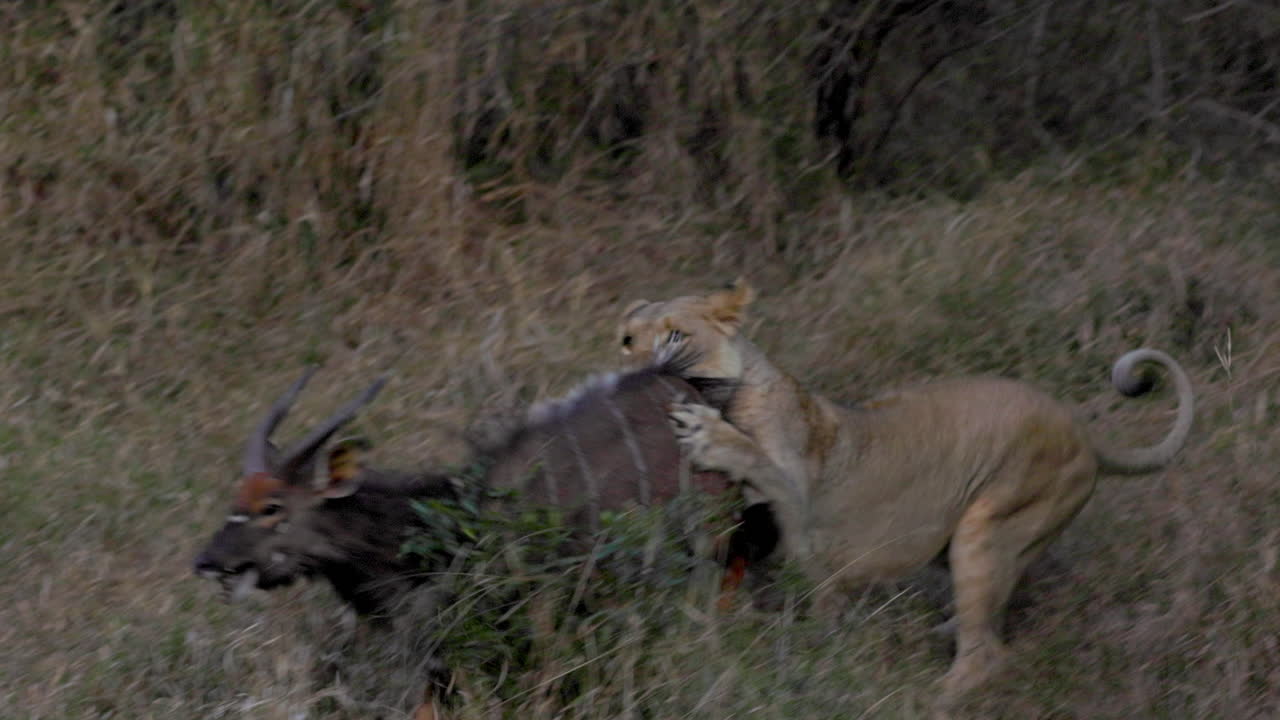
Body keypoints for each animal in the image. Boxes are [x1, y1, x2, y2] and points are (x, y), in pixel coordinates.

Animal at [616, 279, 1194, 699]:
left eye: (674, 335)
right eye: (627, 338)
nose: (628, 376)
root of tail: (1084, 433)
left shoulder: (805, 509)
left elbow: (758, 462)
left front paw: (709, 435)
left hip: (988, 526)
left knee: (987, 657)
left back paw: (928, 693)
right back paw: (939, 630)